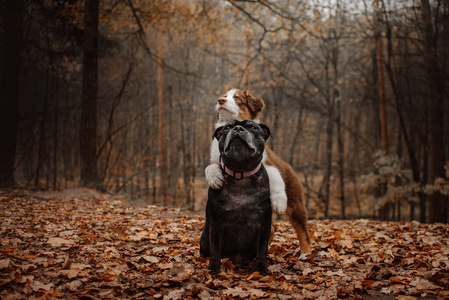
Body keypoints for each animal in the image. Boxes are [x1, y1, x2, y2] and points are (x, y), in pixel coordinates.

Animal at [200, 119, 272, 274]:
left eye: (253, 127)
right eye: (227, 127)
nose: (238, 128)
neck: (241, 173)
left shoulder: (264, 224)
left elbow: (261, 250)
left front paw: (261, 269)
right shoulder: (216, 223)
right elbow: (215, 249)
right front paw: (214, 268)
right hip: (204, 240)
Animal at [205, 88, 310, 255]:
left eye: (238, 99)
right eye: (225, 96)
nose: (220, 100)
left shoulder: (267, 163)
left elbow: (275, 176)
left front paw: (279, 202)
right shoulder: (217, 159)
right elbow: (210, 167)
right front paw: (214, 178)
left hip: (296, 203)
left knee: (302, 231)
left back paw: (305, 254)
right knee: (272, 228)